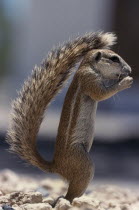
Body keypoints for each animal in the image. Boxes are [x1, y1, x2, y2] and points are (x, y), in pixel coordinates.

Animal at [6, 32, 132, 203]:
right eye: (114, 58)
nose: (129, 70)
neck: (88, 66)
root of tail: (55, 166)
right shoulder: (89, 79)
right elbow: (101, 94)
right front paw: (125, 81)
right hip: (82, 162)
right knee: (69, 194)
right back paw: (71, 201)